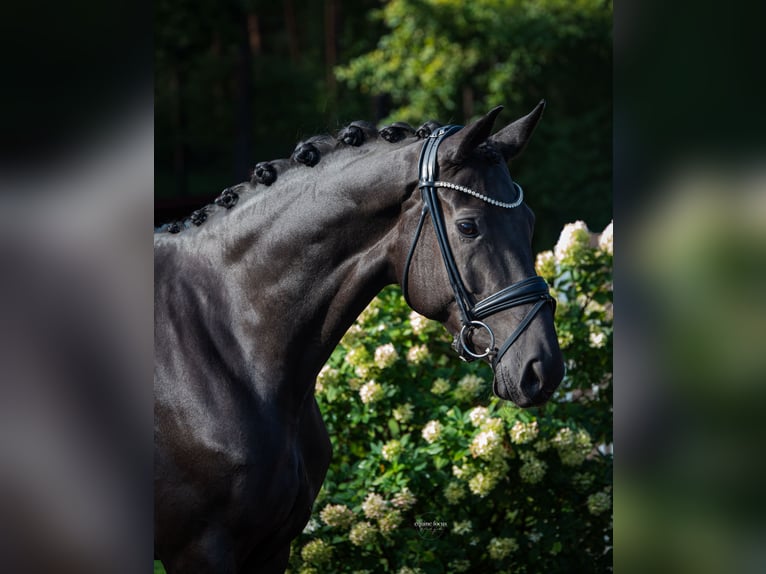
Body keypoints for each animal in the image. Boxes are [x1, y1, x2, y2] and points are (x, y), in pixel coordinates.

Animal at [154, 102, 564, 573]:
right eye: (467, 227)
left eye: (529, 222)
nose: (544, 368)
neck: (228, 338)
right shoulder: (202, 551)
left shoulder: (271, 548)